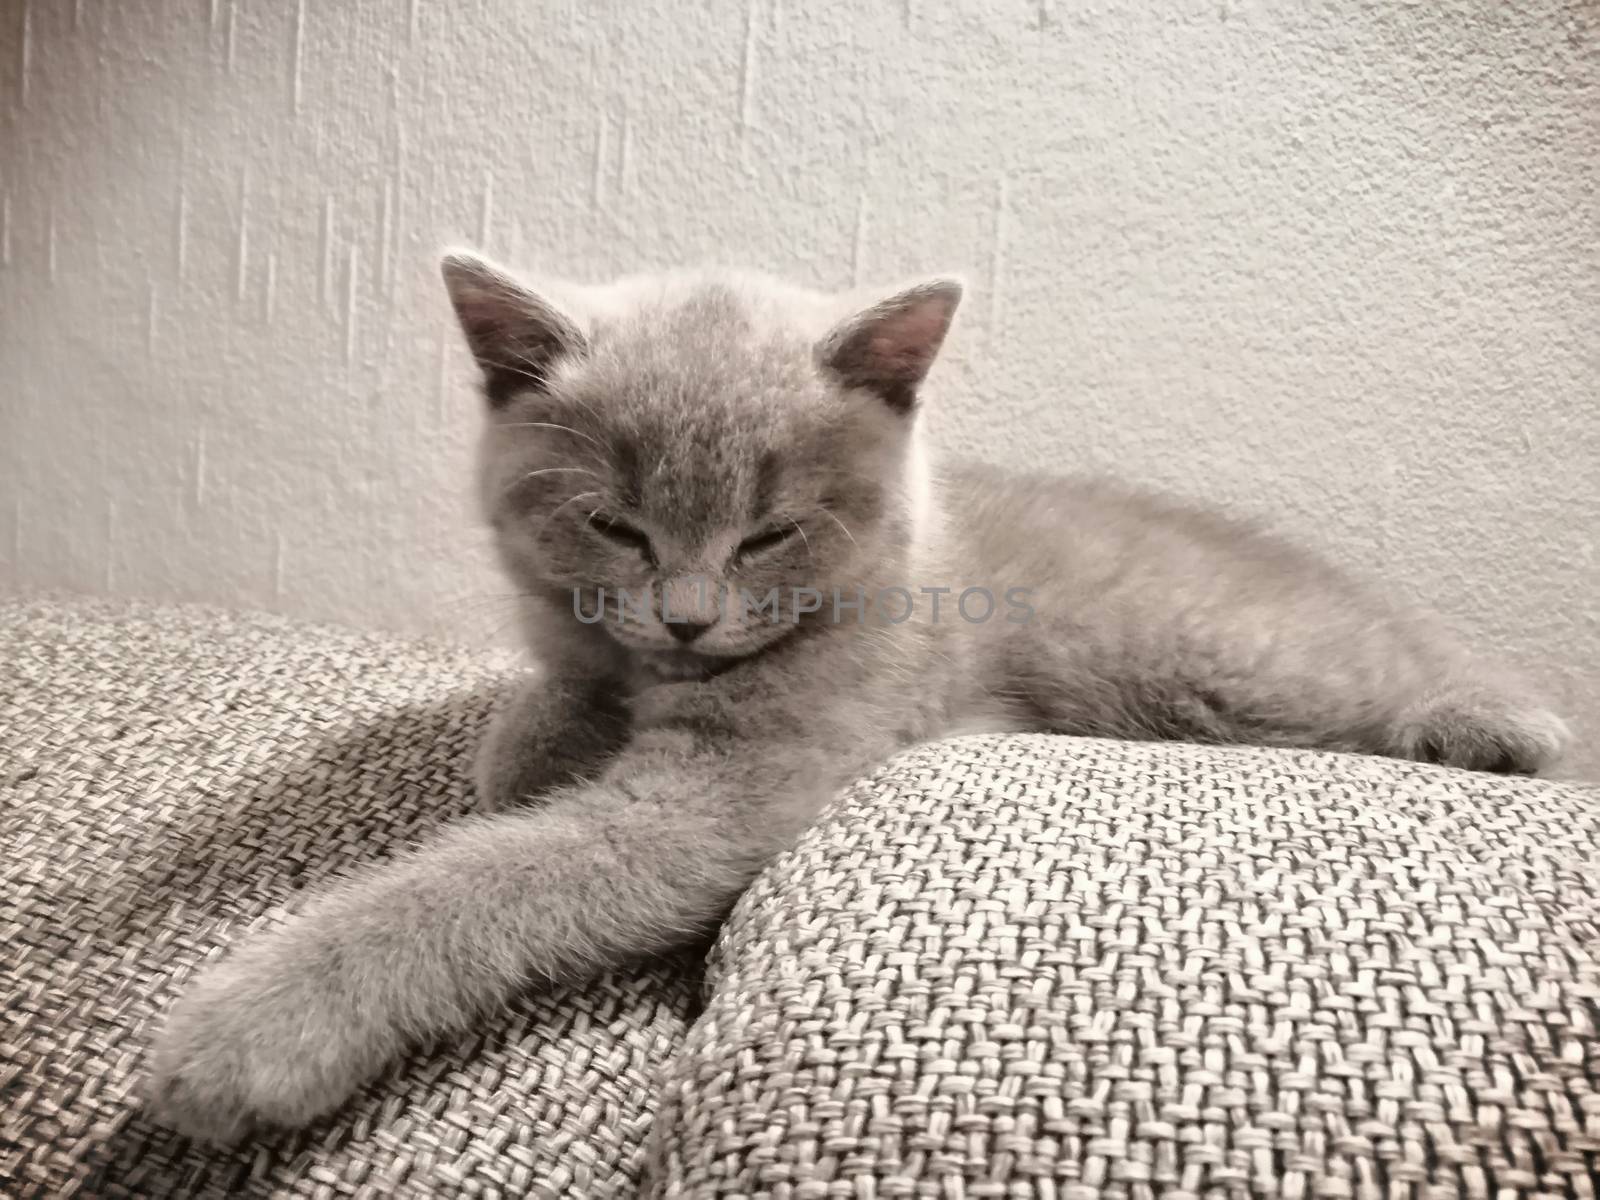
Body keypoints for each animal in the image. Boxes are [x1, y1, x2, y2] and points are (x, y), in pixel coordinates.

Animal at [144, 254, 1568, 1145]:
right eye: (613, 523)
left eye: (770, 532)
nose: (687, 614)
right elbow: (534, 728)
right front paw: (534, 739)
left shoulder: (728, 787)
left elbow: (484, 881)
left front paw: (249, 1033)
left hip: (1211, 658)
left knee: (1387, 678)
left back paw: (1494, 724)